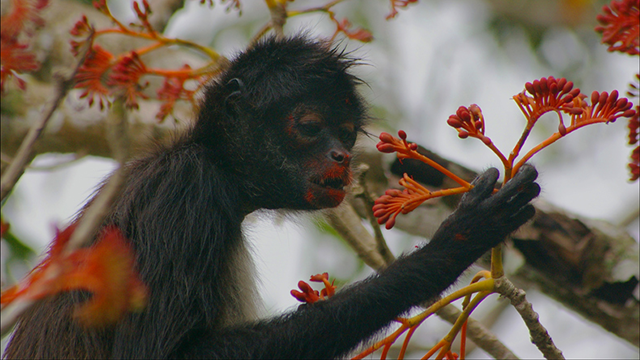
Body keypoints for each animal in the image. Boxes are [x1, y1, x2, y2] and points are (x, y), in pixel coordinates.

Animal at [3, 35, 540, 358]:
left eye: (347, 135)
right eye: (311, 127)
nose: (341, 156)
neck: (213, 161)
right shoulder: (186, 196)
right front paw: (449, 248)